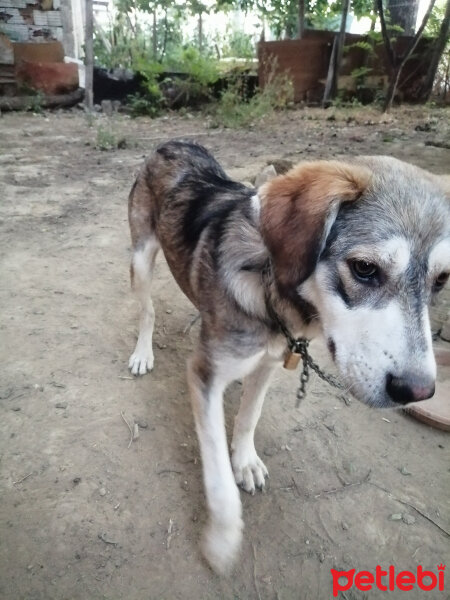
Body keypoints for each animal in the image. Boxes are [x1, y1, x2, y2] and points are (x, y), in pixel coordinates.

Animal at [126, 139, 450, 572]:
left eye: (441, 279)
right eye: (364, 268)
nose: (417, 391)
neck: (266, 279)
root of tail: (173, 143)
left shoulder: (268, 361)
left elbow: (249, 416)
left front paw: (245, 460)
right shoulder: (203, 373)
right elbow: (218, 476)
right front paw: (223, 539)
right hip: (141, 257)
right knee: (146, 310)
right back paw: (142, 353)